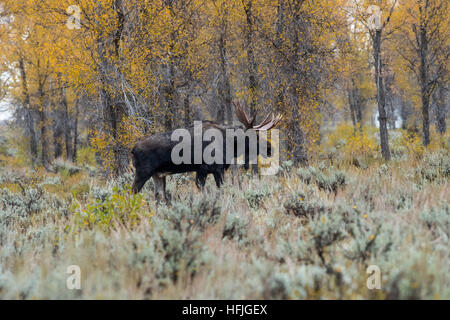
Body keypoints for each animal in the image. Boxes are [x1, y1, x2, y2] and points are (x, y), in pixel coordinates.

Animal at [130, 102, 282, 201]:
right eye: (253, 136)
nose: (270, 148)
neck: (229, 144)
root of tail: (133, 149)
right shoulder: (215, 169)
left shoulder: (202, 171)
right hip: (143, 172)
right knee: (132, 192)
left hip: (158, 175)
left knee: (159, 196)